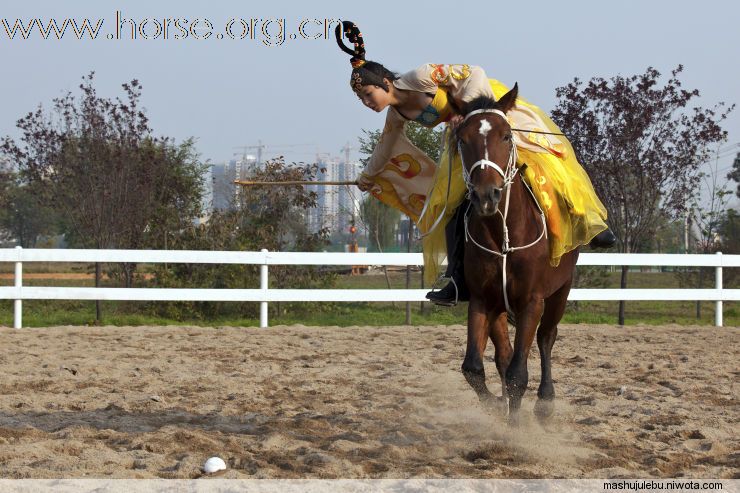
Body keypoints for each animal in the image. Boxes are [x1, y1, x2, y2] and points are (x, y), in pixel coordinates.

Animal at [456, 85, 580, 422]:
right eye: (462, 138)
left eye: (506, 135)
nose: (486, 195)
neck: (504, 238)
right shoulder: (481, 300)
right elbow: (474, 368)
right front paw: (498, 407)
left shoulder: (532, 302)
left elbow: (518, 375)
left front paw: (514, 429)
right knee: (503, 355)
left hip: (560, 293)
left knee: (546, 338)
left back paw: (545, 402)